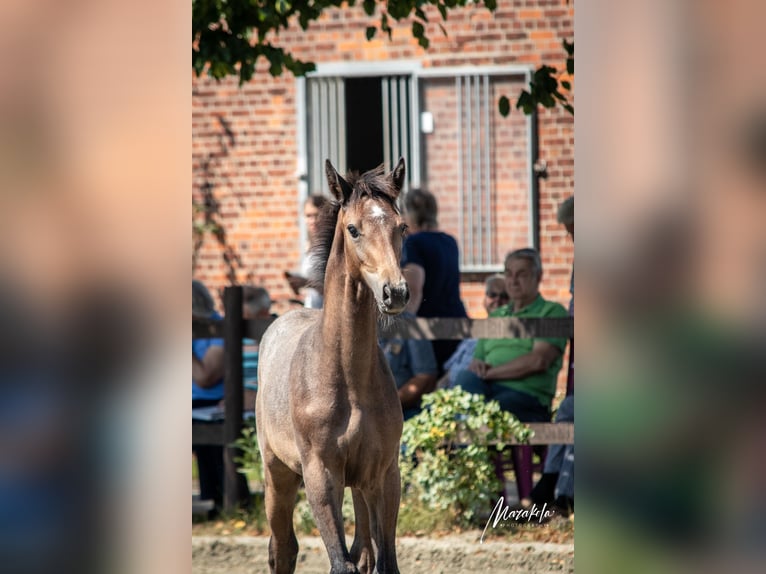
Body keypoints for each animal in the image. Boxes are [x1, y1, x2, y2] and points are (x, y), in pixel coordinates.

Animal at [258, 159, 412, 574]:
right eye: (353, 229)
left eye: (402, 226)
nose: (395, 293)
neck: (348, 379)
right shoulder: (320, 474)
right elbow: (340, 562)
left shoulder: (384, 472)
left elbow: (382, 561)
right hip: (277, 474)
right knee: (283, 549)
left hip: (358, 483)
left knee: (364, 550)